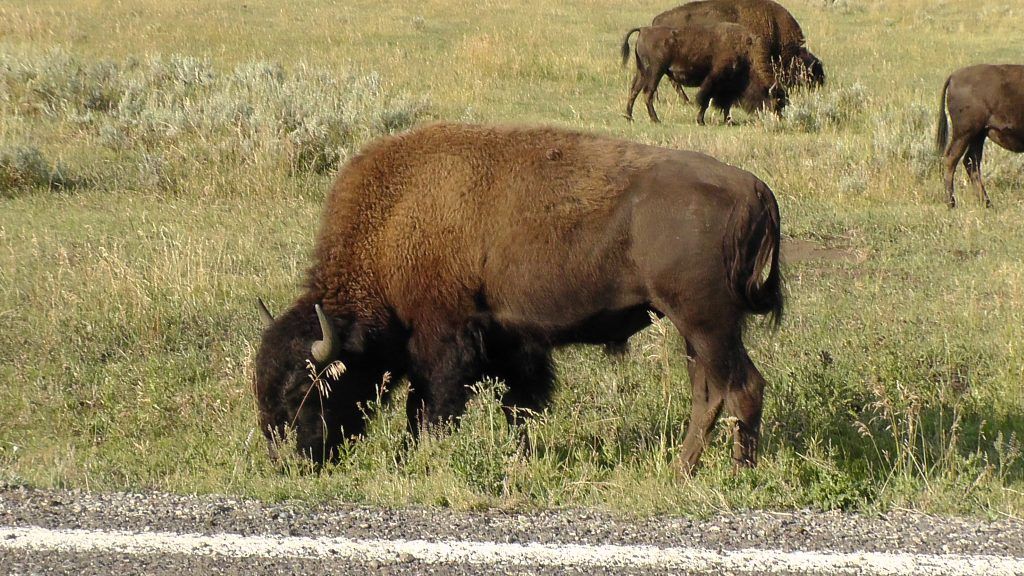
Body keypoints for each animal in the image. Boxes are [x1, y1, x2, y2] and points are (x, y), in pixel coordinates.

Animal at [254, 123, 783, 473]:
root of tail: (752, 189)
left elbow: (429, 408)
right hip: (695, 329)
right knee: (709, 393)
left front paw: (414, 460)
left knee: (743, 388)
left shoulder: (444, 340)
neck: (394, 219)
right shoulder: (511, 342)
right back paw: (681, 469)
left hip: (707, 323)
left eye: (304, 391)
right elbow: (519, 407)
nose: (288, 462)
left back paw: (738, 471)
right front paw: (521, 458)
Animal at [621, 23, 788, 125]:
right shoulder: (714, 80)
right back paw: (655, 119)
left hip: (642, 72)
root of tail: (644, 29)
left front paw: (729, 121)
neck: (746, 51)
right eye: (775, 101)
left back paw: (629, 117)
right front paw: (701, 121)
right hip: (655, 72)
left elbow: (726, 104)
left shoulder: (729, 87)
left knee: (634, 91)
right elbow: (706, 100)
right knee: (647, 93)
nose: (780, 118)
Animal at [936, 64, 1024, 208]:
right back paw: (952, 203)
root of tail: (954, 77)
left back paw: (986, 203)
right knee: (951, 159)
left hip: (978, 135)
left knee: (971, 161)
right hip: (965, 134)